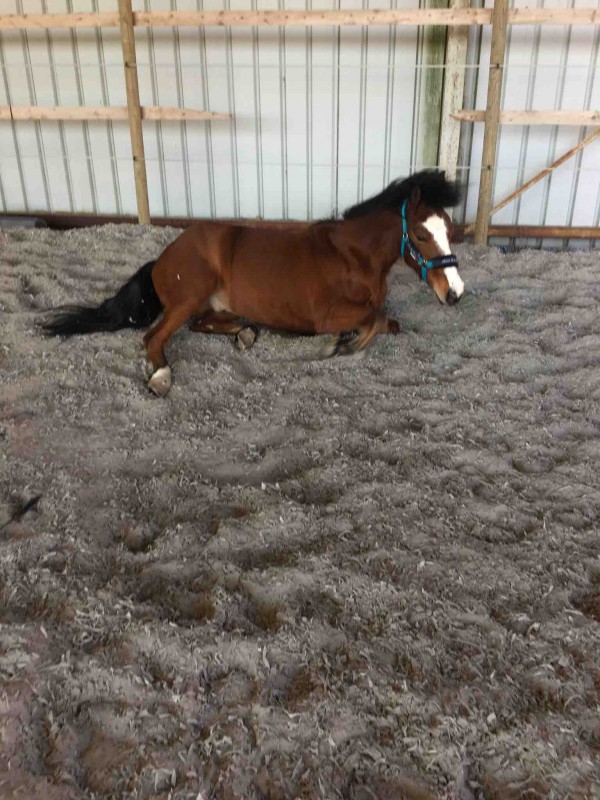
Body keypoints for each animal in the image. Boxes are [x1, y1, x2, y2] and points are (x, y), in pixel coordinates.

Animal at [43, 169, 464, 397]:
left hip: (207, 304)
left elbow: (389, 320)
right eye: (422, 235)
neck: (353, 256)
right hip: (190, 295)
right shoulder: (327, 316)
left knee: (203, 323)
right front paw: (340, 346)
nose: (455, 294)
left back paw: (244, 332)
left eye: (451, 231)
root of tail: (162, 259)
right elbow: (373, 320)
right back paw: (161, 377)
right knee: (154, 336)